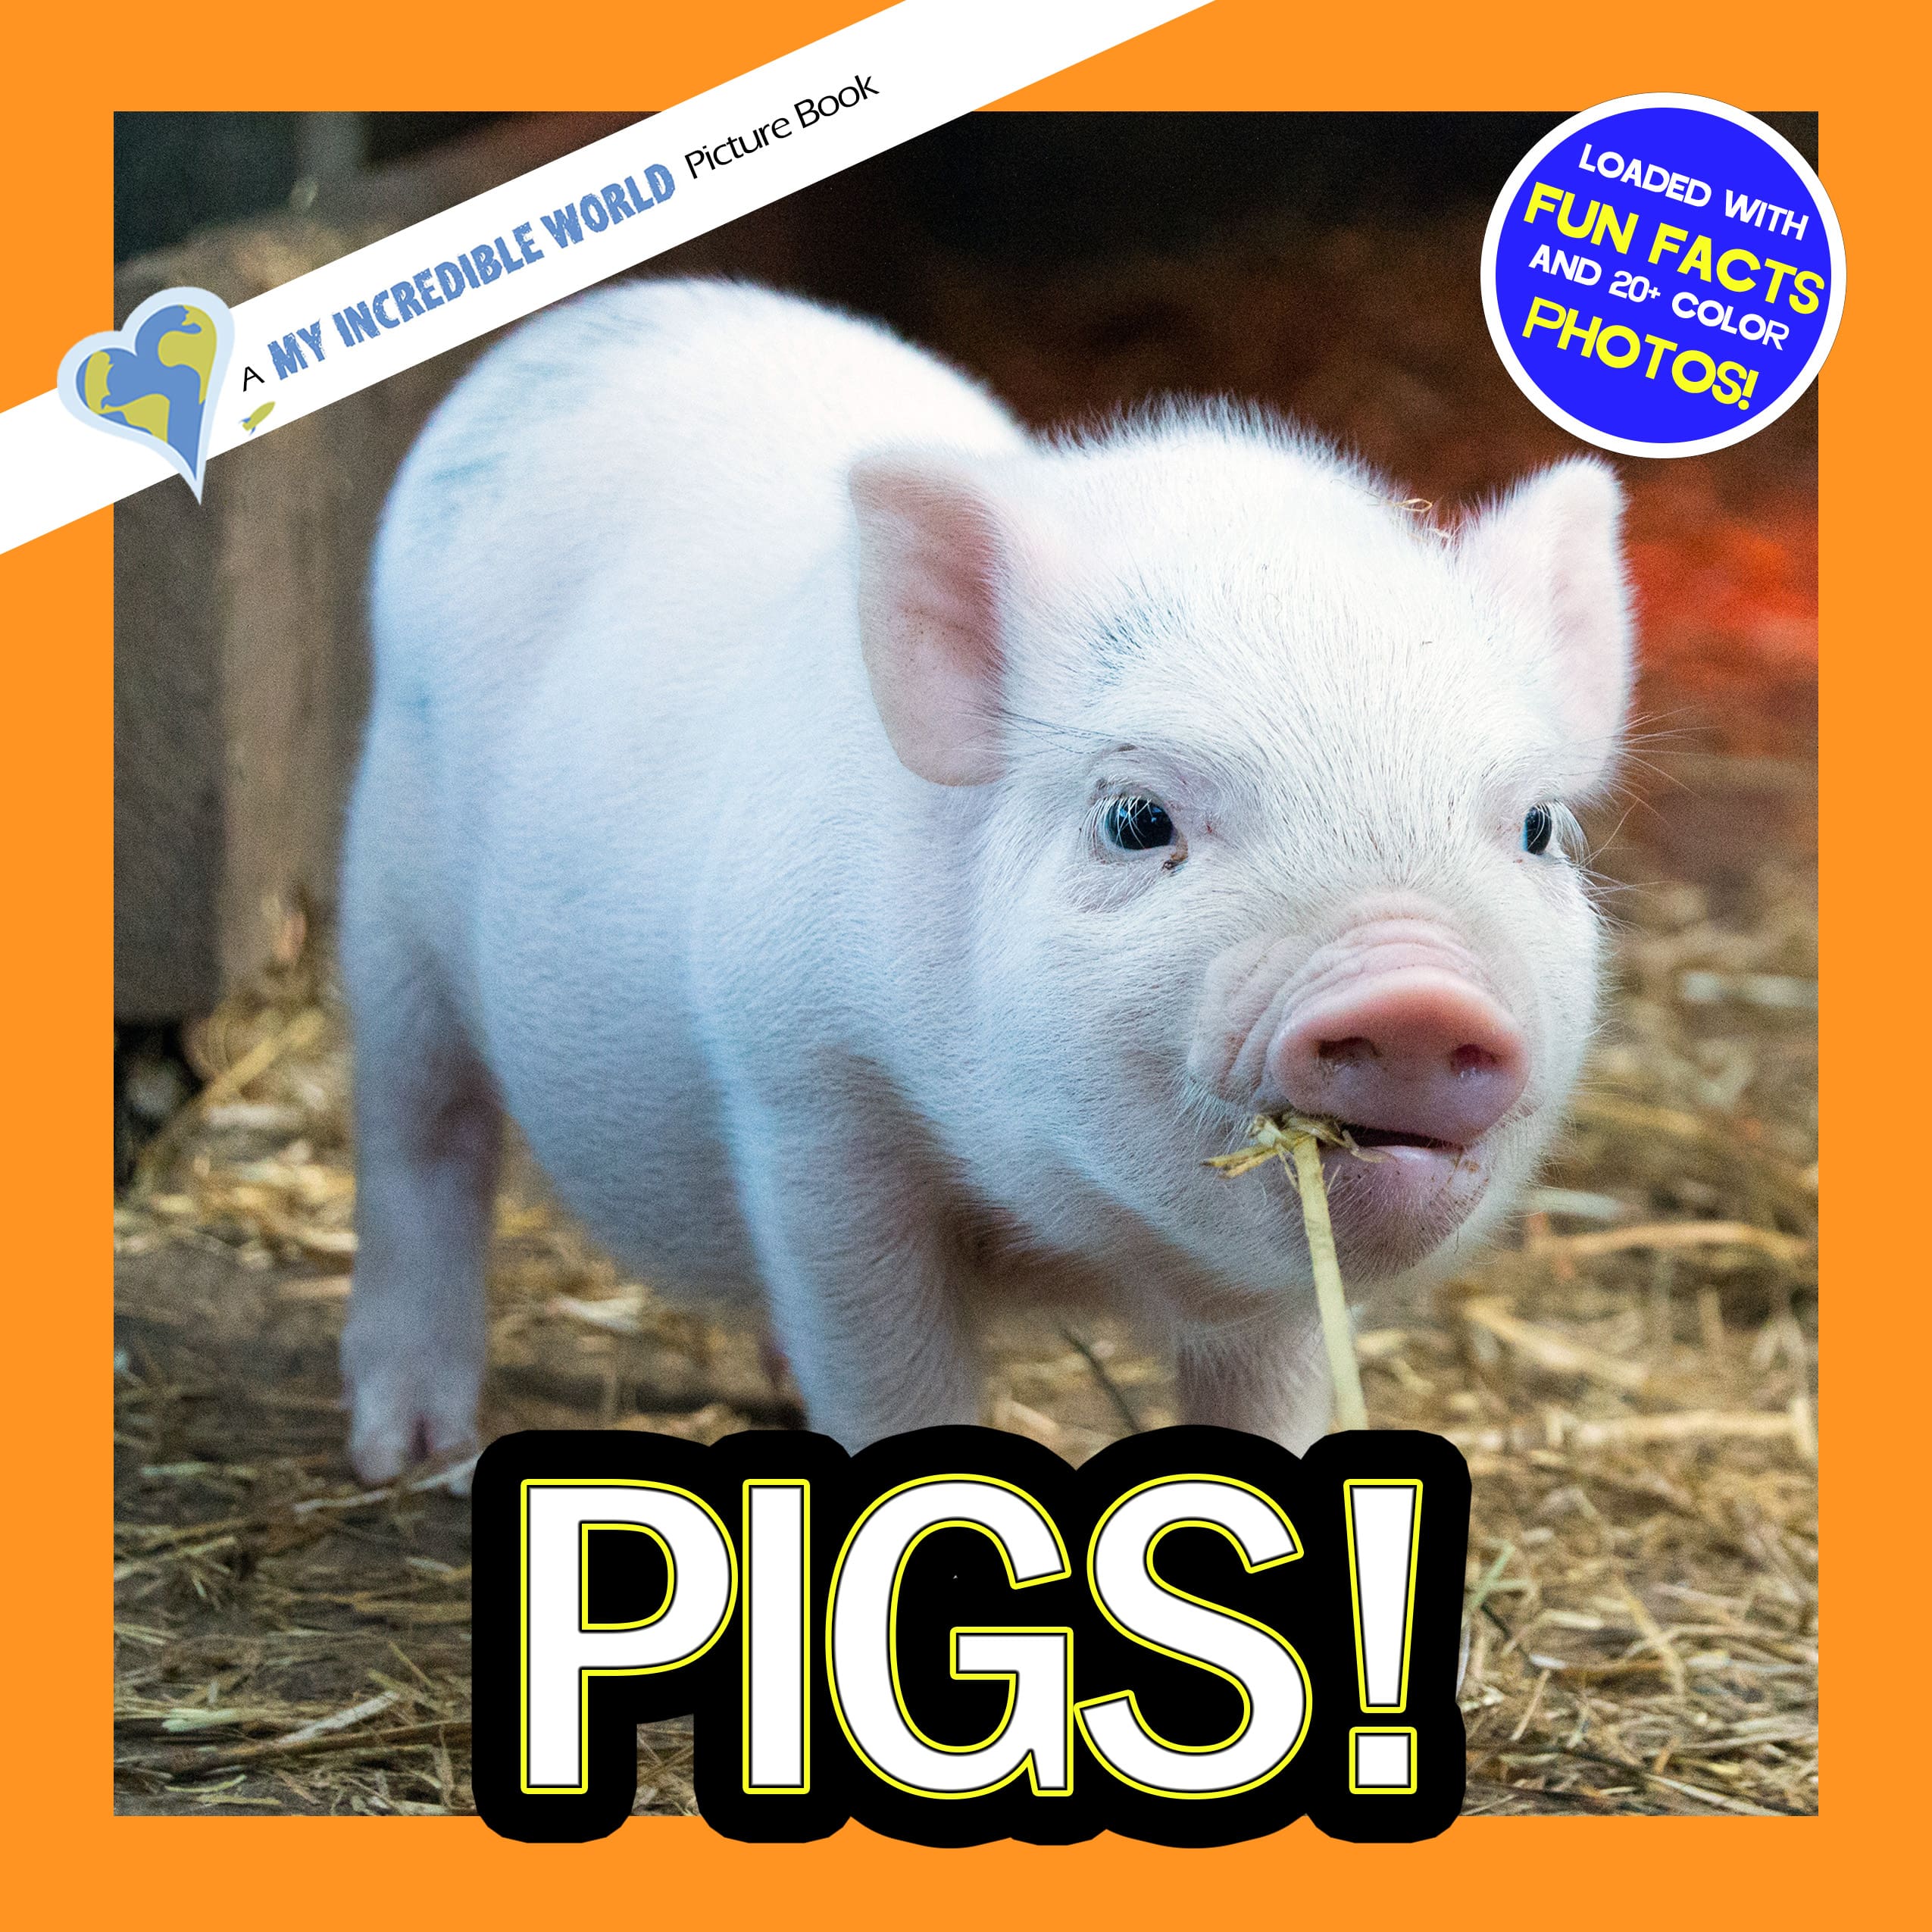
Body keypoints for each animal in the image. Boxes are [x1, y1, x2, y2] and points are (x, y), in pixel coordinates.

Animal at [340, 278, 1631, 1481]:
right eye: (1134, 818)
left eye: (1535, 826)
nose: (1415, 992)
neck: (1068, 1236)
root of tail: (602, 314)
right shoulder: (809, 1097)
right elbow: (890, 1371)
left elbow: (1261, 1397)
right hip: (387, 903)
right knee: (423, 1140)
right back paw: (409, 1451)